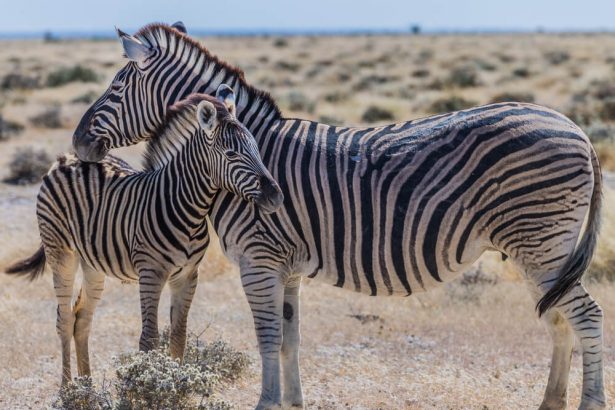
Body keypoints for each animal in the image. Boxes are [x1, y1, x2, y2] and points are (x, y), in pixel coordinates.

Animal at [6, 86, 284, 384]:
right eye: (232, 154)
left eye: (257, 149)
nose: (275, 196)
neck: (187, 207)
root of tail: (65, 159)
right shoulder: (151, 273)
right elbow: (149, 338)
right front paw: (149, 382)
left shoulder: (188, 276)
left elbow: (178, 336)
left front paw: (178, 382)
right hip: (60, 251)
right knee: (64, 318)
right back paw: (67, 388)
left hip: (92, 262)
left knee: (82, 319)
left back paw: (86, 387)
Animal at [73, 22, 608, 410]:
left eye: (117, 84)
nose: (78, 143)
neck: (244, 158)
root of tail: (579, 130)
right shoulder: (286, 267)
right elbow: (289, 338)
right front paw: (293, 403)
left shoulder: (258, 259)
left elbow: (267, 336)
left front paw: (267, 404)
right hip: (542, 249)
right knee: (560, 318)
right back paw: (551, 403)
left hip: (540, 242)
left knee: (585, 314)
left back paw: (590, 403)